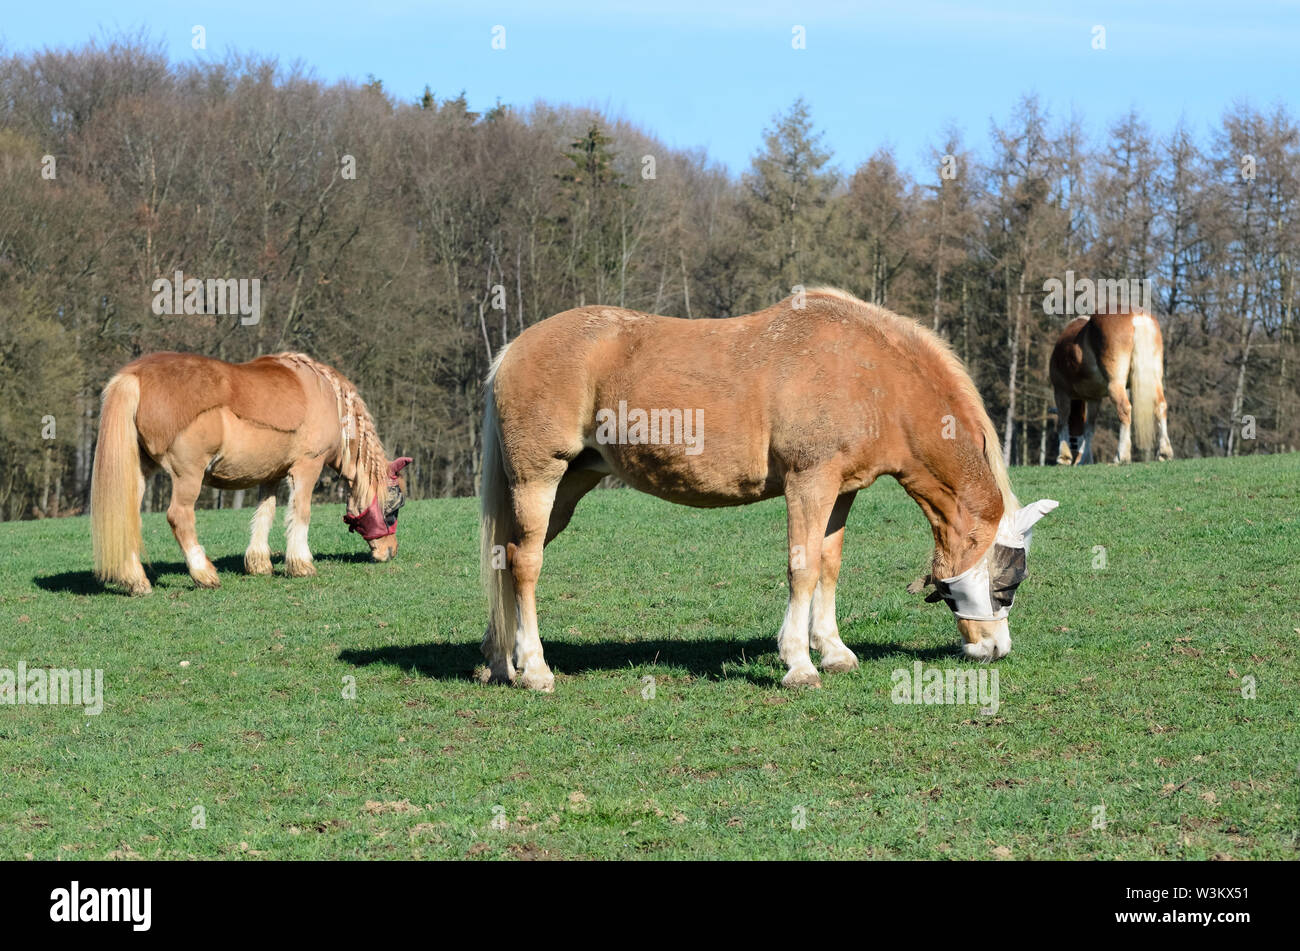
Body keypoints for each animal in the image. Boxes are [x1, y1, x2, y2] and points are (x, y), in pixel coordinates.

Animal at [91, 353, 410, 595]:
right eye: (394, 509)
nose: (390, 551)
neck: (326, 393)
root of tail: (134, 376)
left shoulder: (270, 474)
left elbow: (265, 513)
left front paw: (259, 564)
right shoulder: (307, 467)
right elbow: (301, 513)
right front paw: (301, 564)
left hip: (141, 472)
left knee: (128, 518)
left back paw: (136, 581)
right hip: (188, 475)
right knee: (179, 517)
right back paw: (204, 574)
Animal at [483, 288, 1060, 691]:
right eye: (1006, 585)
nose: (996, 650)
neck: (870, 375)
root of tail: (513, 349)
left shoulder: (840, 492)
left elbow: (828, 566)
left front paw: (833, 652)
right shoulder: (809, 482)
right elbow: (802, 568)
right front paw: (799, 663)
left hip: (567, 487)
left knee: (505, 558)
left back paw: (497, 663)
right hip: (539, 479)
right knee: (526, 564)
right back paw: (535, 669)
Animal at [1050, 310, 1175, 462]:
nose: (1075, 456)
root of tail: (1137, 317)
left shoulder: (1061, 392)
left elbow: (1062, 423)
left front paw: (1063, 456)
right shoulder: (1094, 399)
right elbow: (1089, 429)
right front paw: (1085, 460)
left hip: (1115, 385)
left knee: (1124, 409)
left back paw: (1121, 456)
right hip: (1155, 381)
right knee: (1160, 407)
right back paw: (1164, 452)